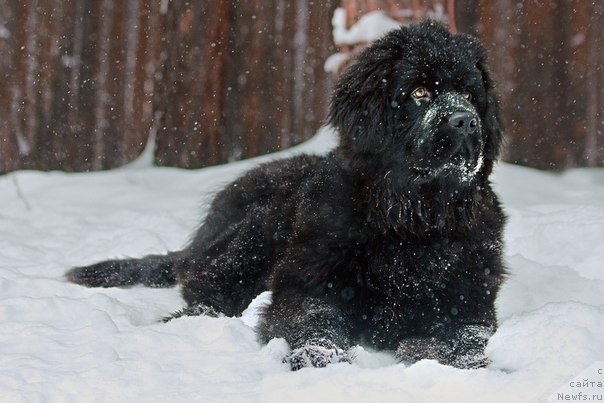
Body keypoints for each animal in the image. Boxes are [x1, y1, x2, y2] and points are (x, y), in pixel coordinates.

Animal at [66, 20, 504, 370]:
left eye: (470, 94)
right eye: (420, 92)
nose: (466, 122)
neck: (409, 217)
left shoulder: (469, 300)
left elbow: (461, 334)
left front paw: (458, 364)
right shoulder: (306, 283)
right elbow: (315, 320)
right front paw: (317, 359)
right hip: (256, 227)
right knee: (202, 284)